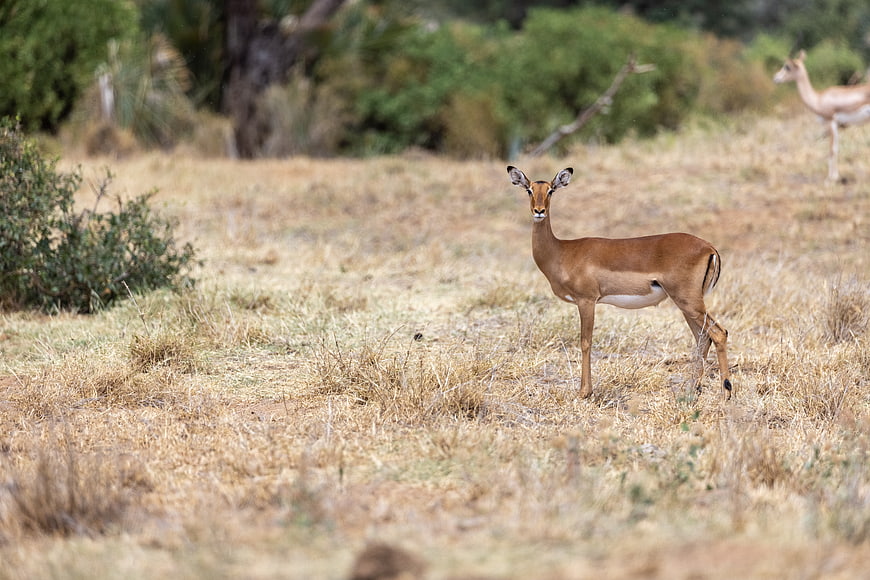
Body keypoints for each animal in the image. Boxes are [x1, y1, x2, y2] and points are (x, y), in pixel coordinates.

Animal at [507, 166, 732, 400]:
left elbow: (585, 342)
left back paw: (726, 392)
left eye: (551, 190)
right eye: (529, 190)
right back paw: (690, 391)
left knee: (719, 333)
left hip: (689, 302)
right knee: (703, 337)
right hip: (687, 305)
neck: (562, 252)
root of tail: (709, 247)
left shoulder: (587, 301)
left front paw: (584, 392)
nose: (539, 211)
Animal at [773, 50, 870, 182]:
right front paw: (834, 177)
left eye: (787, 66)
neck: (818, 99)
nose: (775, 78)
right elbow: (835, 149)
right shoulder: (836, 125)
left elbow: (832, 150)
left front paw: (831, 178)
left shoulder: (831, 122)